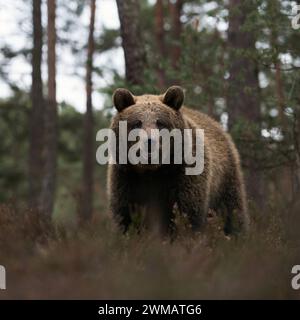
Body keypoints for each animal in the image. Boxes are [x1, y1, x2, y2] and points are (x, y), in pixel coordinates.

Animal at [106, 85, 250, 235]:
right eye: (137, 123)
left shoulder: (185, 173)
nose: (150, 142)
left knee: (233, 209)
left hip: (225, 178)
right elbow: (125, 214)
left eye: (160, 122)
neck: (152, 170)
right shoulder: (126, 177)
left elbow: (188, 211)